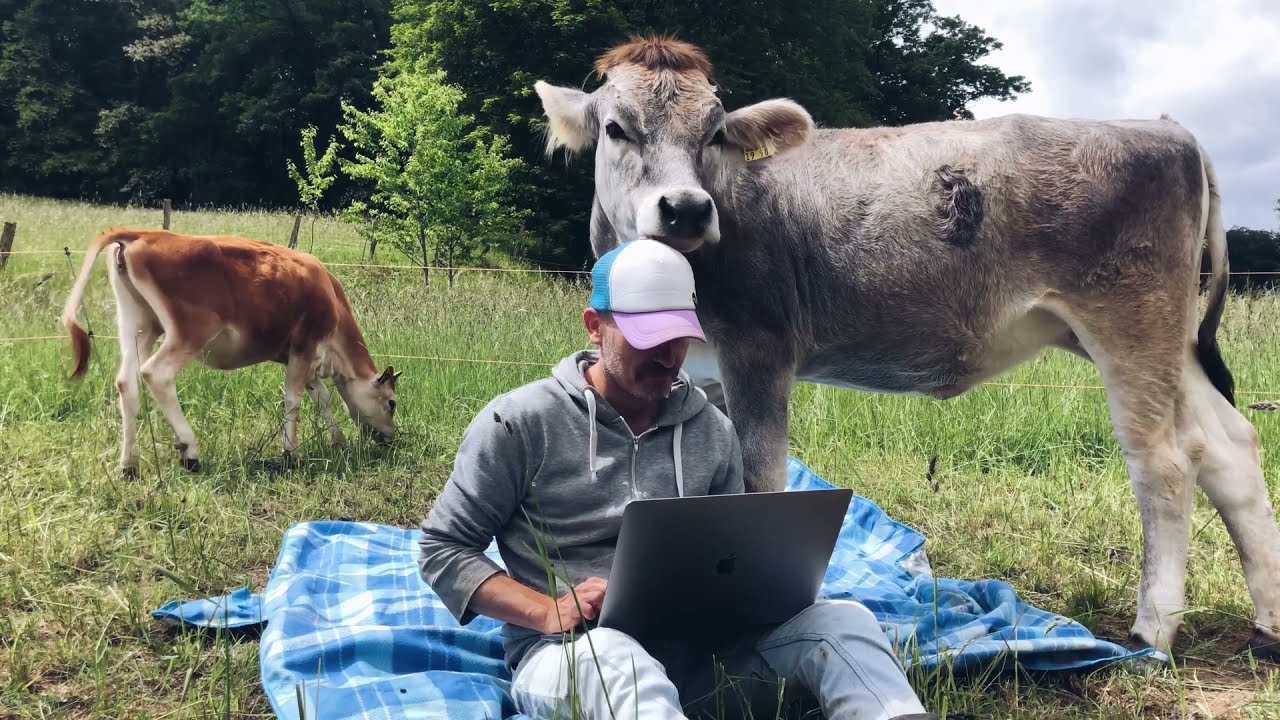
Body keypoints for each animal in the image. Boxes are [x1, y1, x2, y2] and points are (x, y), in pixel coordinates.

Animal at [60, 228, 401, 477]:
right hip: (189, 332)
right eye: (392, 403)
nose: (391, 437)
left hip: (139, 326)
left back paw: (129, 466)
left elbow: (324, 399)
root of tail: (142, 233)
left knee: (126, 383)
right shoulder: (305, 344)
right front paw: (291, 454)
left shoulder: (300, 358)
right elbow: (294, 399)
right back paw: (190, 453)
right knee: (155, 374)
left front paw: (339, 441)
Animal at [533, 35, 1280, 661]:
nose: (686, 208)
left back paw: (1153, 630)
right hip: (1162, 341)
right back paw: (1267, 626)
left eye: (714, 132)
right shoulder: (706, 370)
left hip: (1130, 319)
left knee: (1164, 461)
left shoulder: (759, 350)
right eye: (617, 127)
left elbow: (758, 479)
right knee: (1228, 447)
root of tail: (1164, 127)